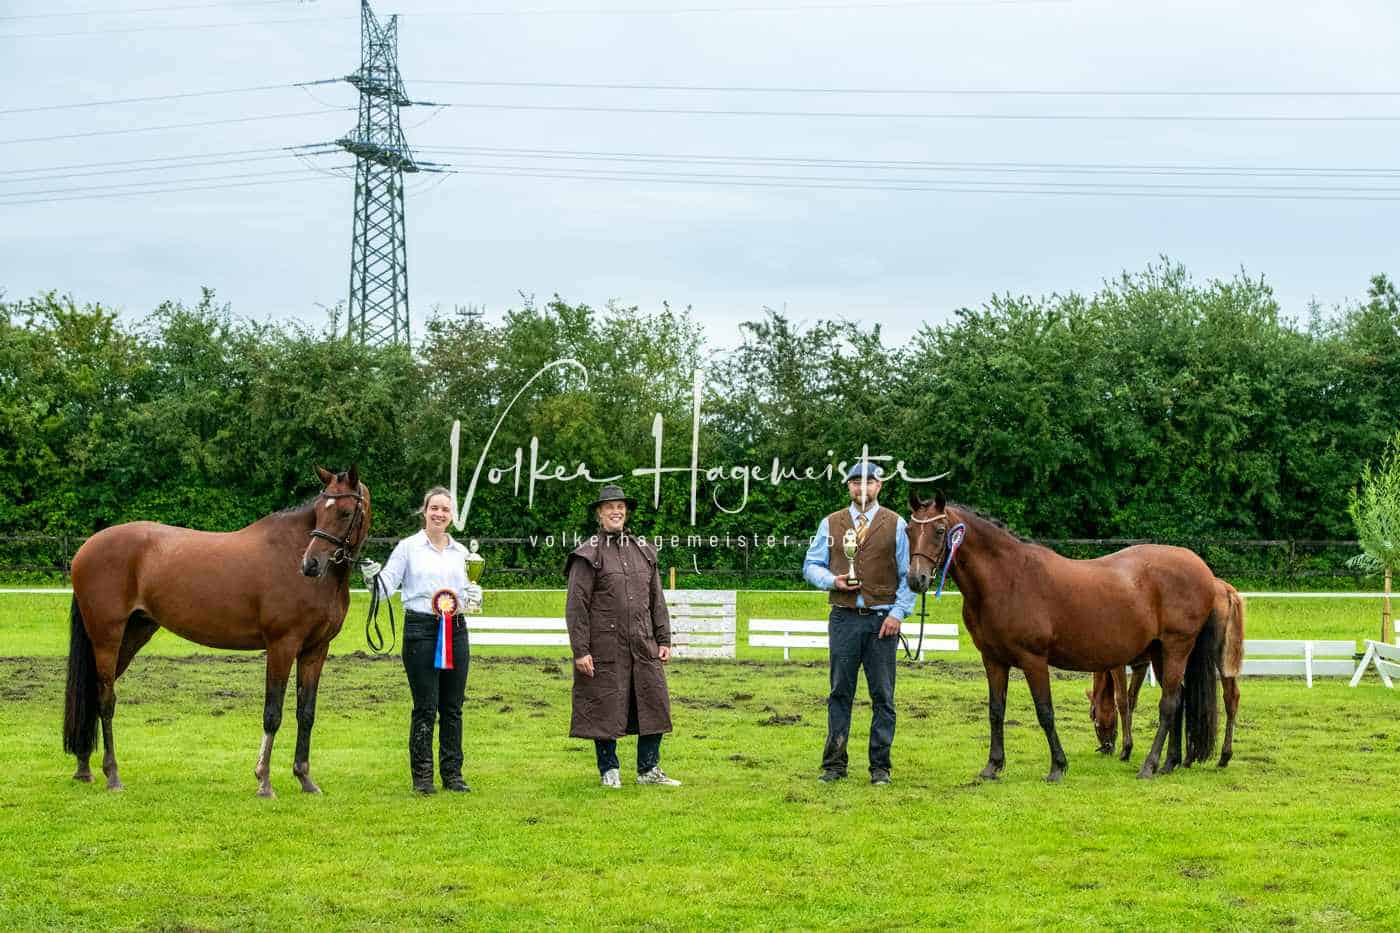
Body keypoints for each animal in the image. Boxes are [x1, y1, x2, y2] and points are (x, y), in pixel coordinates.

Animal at [62, 466, 370, 797]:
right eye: (320, 509)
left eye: (345, 511)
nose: (311, 564)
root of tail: (85, 549)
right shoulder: (282, 646)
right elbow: (272, 713)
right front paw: (264, 781)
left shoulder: (316, 650)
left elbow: (306, 713)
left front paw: (305, 778)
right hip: (107, 638)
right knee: (106, 700)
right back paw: (113, 775)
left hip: (133, 635)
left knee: (92, 694)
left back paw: (84, 767)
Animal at [1088, 577, 1244, 767]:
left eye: (1094, 718)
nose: (1106, 747)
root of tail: (1225, 589)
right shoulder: (1141, 665)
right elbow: (1132, 700)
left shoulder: (1119, 666)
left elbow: (1123, 701)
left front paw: (1126, 749)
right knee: (1231, 697)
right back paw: (1220, 755)